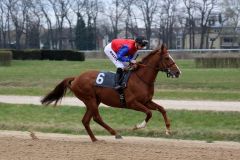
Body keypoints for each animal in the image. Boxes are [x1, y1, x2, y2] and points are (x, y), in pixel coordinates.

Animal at [40, 44, 180, 142]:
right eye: (167, 58)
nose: (178, 72)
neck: (141, 78)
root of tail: (76, 78)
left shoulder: (147, 101)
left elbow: (162, 109)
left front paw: (168, 130)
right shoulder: (132, 103)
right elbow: (149, 113)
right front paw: (138, 126)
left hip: (94, 101)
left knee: (86, 120)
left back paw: (95, 139)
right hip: (90, 99)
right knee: (96, 118)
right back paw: (116, 133)